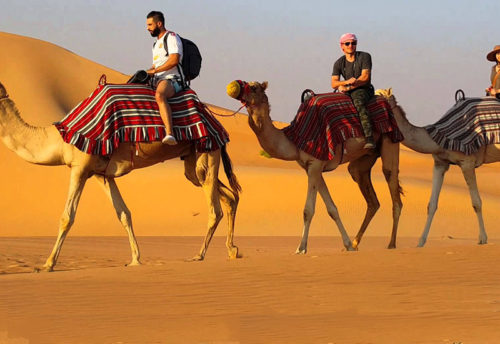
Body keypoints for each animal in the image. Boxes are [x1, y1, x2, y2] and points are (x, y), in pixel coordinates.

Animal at [0, 81, 242, 272]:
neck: (61, 139)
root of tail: (215, 121)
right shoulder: (101, 174)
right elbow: (123, 213)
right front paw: (135, 259)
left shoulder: (80, 167)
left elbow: (67, 217)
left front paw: (48, 264)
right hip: (194, 160)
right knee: (229, 196)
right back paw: (232, 250)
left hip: (207, 152)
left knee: (215, 209)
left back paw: (199, 255)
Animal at [227, 80, 402, 253]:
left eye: (254, 87)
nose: (235, 86)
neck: (294, 139)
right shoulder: (312, 168)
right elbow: (332, 208)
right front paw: (347, 245)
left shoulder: (315, 164)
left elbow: (308, 210)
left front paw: (301, 248)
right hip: (365, 158)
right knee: (370, 196)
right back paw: (356, 243)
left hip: (390, 139)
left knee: (392, 184)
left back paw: (392, 244)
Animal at [376, 87, 498, 246]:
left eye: (378, 97)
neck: (437, 138)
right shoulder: (440, 163)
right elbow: (432, 204)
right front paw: (420, 242)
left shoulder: (467, 162)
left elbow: (476, 202)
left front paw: (482, 238)